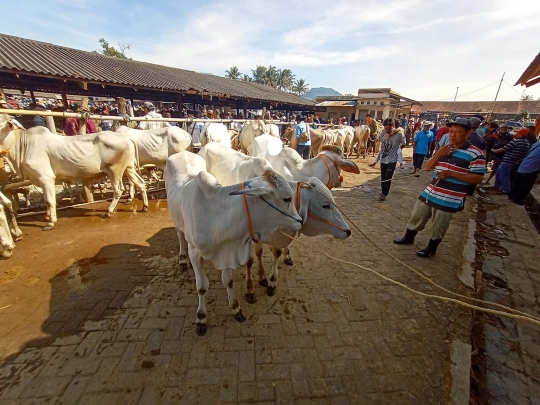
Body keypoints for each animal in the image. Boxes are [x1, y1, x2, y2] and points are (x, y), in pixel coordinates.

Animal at [0, 113, 148, 229]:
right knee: (140, 183)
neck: (22, 146)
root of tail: (126, 138)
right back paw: (145, 206)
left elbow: (49, 200)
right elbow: (46, 198)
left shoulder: (46, 177)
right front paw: (47, 216)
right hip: (128, 168)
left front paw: (51, 222)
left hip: (114, 170)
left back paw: (109, 211)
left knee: (119, 189)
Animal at [163, 152, 304, 334]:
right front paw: (201, 317)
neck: (217, 214)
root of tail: (183, 152)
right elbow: (201, 287)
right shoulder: (194, 252)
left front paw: (236, 307)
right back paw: (181, 259)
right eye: (287, 198)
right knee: (180, 235)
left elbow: (228, 281)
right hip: (176, 219)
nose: (300, 221)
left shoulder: (226, 251)